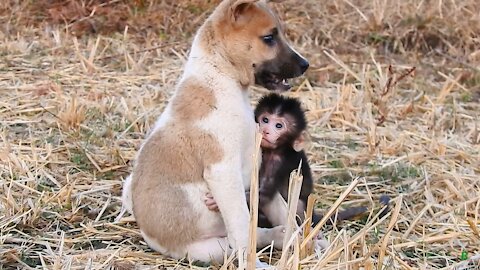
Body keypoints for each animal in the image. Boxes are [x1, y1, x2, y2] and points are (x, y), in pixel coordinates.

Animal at [122, 0, 310, 264]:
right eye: (269, 38)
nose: (305, 65)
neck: (221, 78)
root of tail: (149, 235)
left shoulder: (258, 164)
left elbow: (282, 209)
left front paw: (306, 240)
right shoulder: (223, 172)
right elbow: (242, 226)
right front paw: (254, 264)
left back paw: (282, 236)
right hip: (207, 249)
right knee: (234, 243)